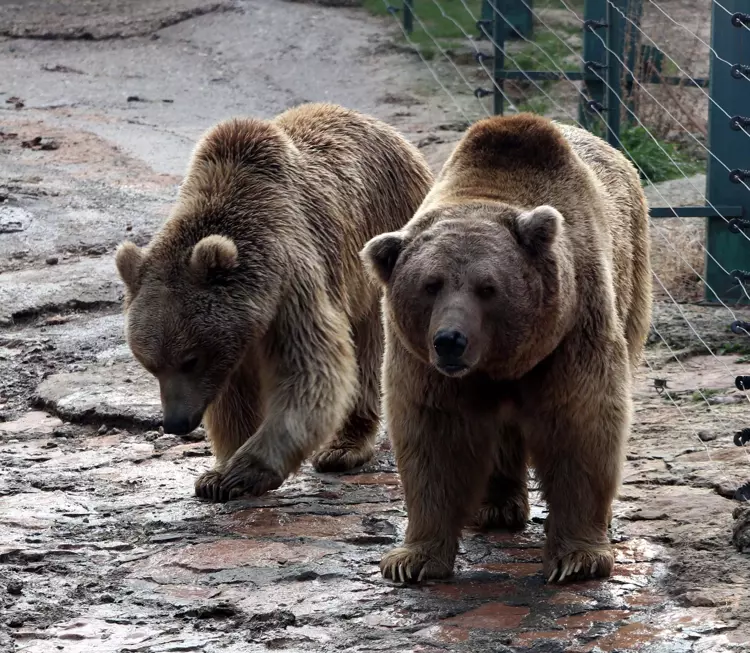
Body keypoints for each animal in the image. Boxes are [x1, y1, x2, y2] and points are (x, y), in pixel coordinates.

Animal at [117, 103, 434, 500]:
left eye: (189, 360)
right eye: (150, 365)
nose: (175, 422)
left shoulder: (292, 282)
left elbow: (312, 371)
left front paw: (244, 472)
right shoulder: (235, 337)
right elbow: (231, 397)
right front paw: (216, 475)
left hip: (382, 249)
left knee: (369, 352)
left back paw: (343, 448)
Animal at [362, 113, 652, 584]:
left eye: (487, 287)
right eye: (430, 285)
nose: (450, 340)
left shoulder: (571, 329)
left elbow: (581, 423)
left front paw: (578, 558)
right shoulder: (422, 363)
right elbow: (434, 439)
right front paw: (411, 559)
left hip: (633, 277)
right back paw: (496, 506)